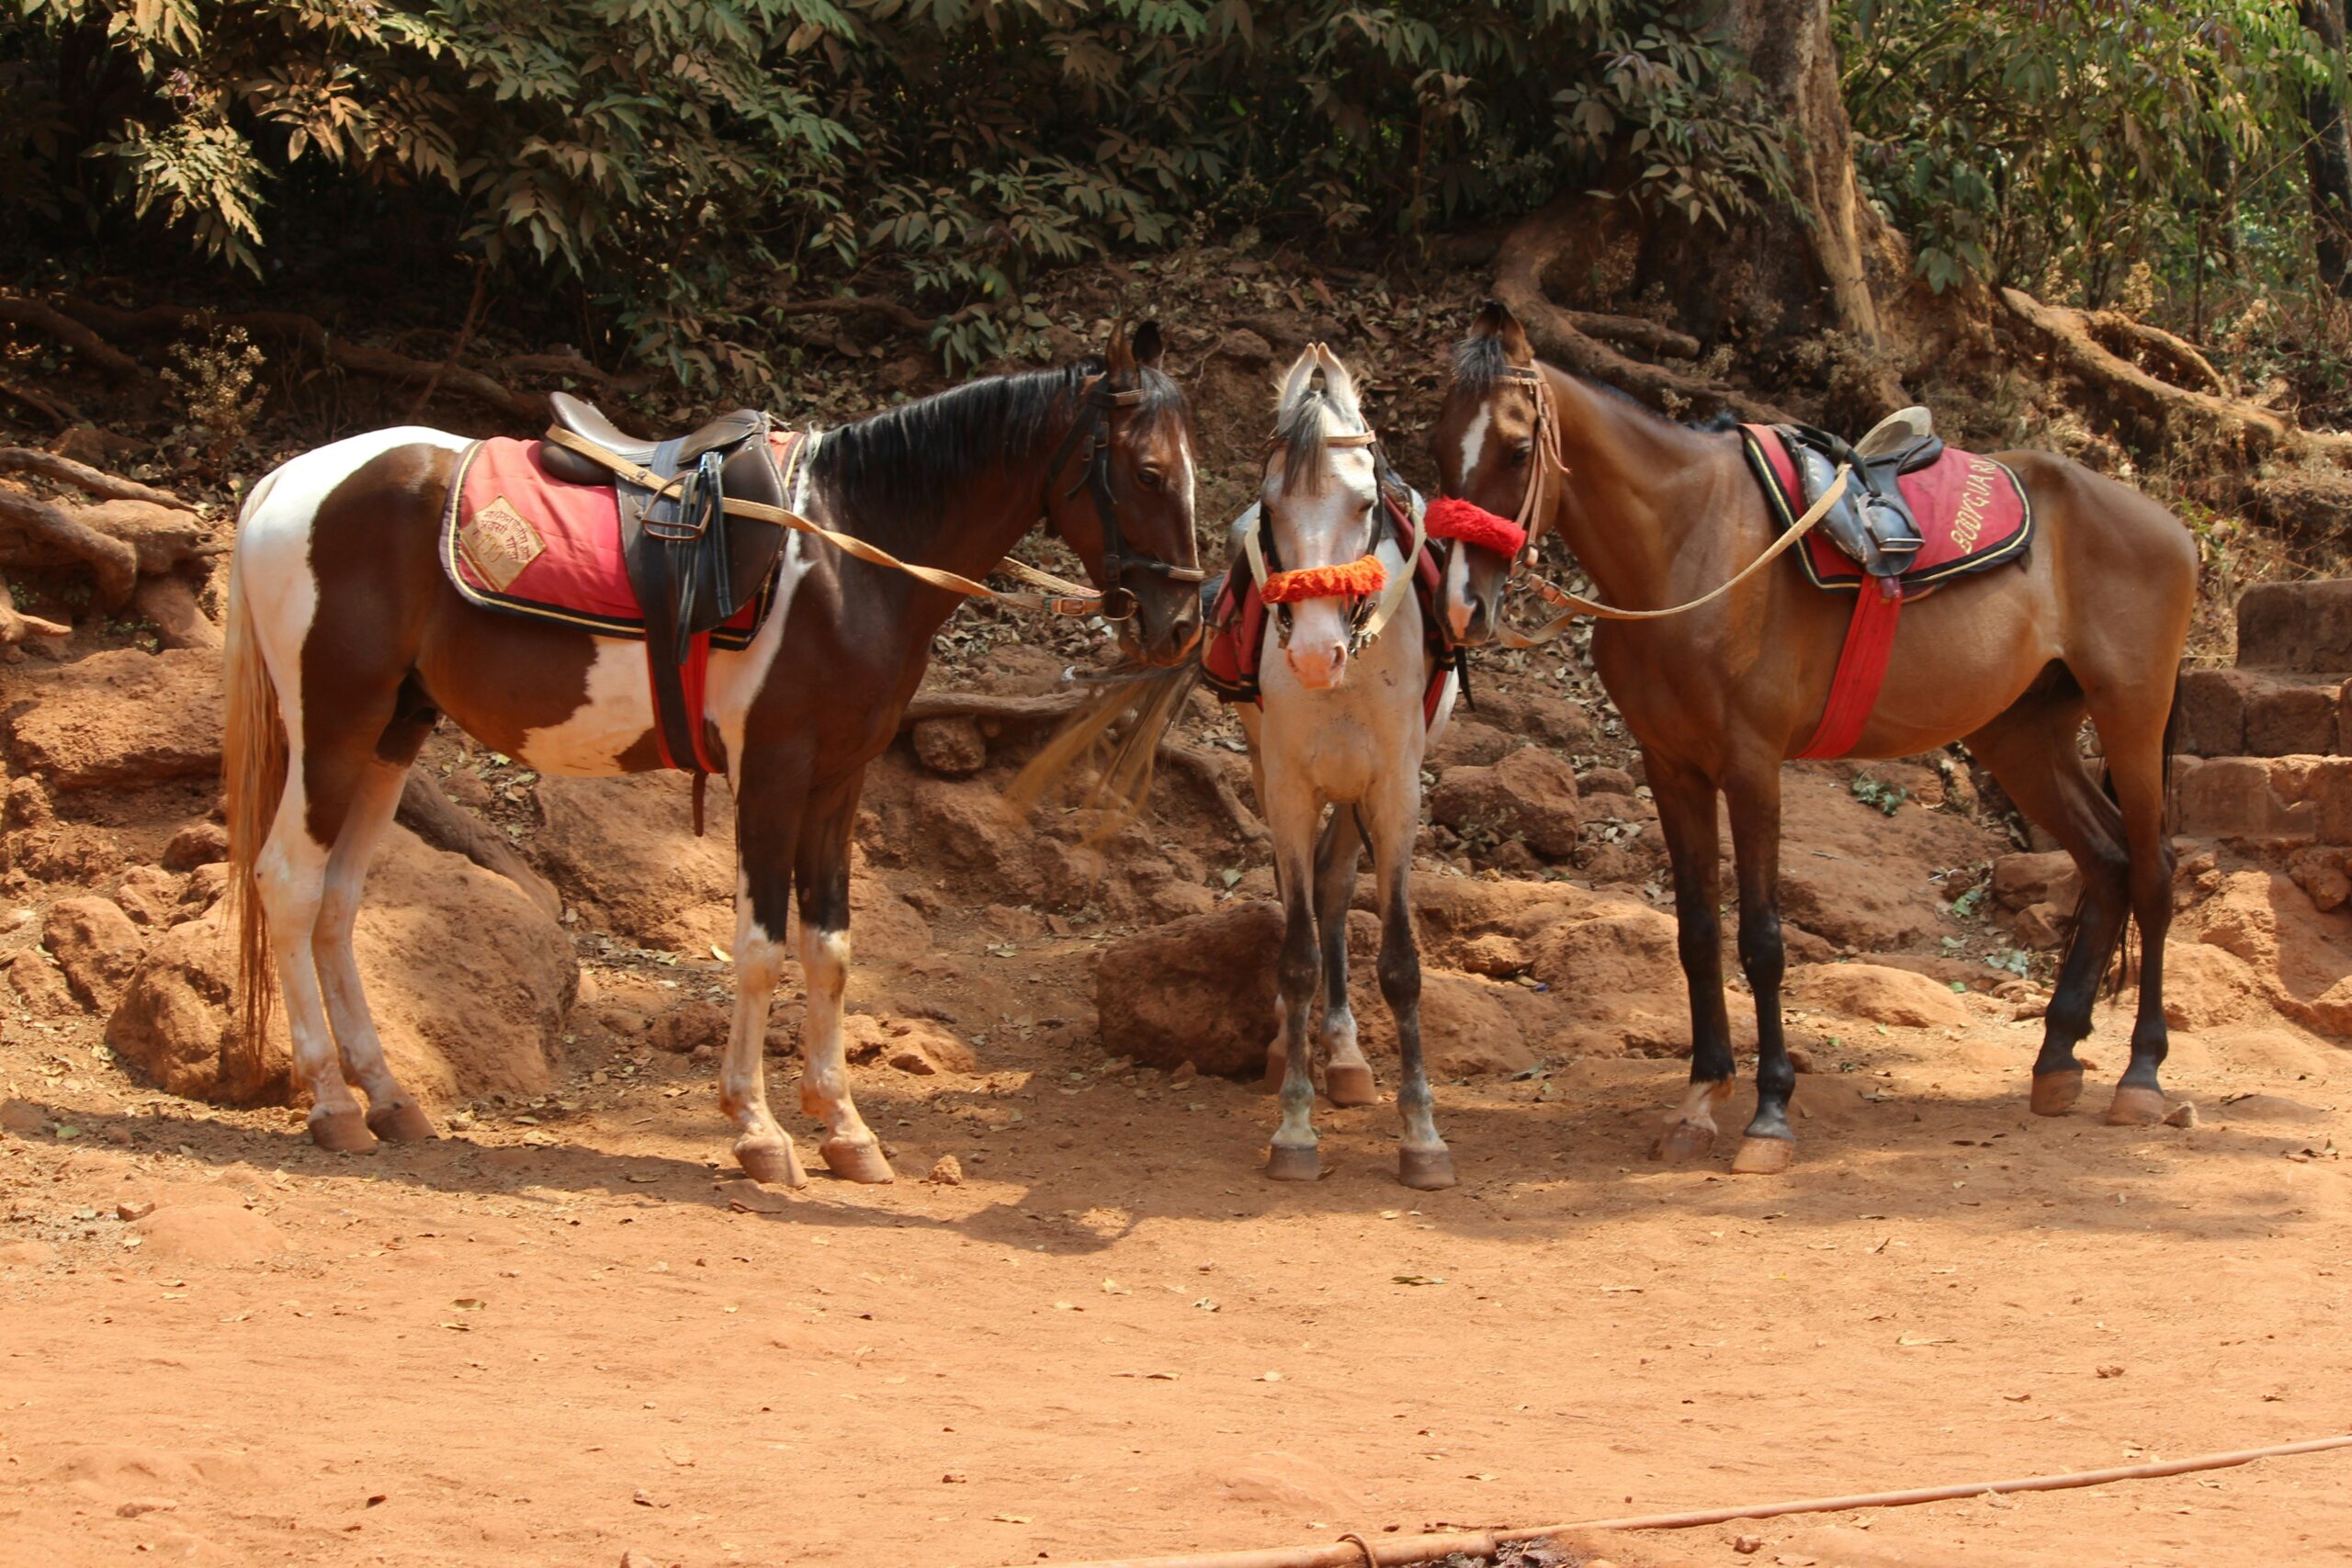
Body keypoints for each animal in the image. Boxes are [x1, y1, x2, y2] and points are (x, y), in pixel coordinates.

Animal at [221, 325, 1203, 1185]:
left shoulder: (839, 780)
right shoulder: (771, 772)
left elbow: (830, 947)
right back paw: (332, 1104)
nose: (1182, 624)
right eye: (1149, 472)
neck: (848, 556)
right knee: (290, 884)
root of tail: (282, 486)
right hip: (332, 726)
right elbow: (762, 948)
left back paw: (388, 1097)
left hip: (392, 734)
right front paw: (760, 1130)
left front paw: (846, 1129)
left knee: (339, 902)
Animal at [1431, 302, 2196, 1173]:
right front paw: (1701, 1097)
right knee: (2105, 861)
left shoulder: (1752, 765)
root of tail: (2169, 526)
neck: (1687, 546)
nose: (1461, 606)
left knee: (2154, 873)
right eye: (1438, 446)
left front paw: (1769, 1112)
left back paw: (2141, 1074)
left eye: (1519, 448)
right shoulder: (1671, 767)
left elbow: (1762, 940)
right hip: (2023, 736)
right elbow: (1697, 932)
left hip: (2132, 712)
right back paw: (2059, 1057)